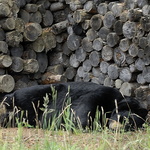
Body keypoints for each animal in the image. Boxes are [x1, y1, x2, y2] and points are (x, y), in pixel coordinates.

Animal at [0, 81, 148, 131]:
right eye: (124, 118)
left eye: (132, 124)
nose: (117, 126)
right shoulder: (102, 94)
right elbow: (82, 110)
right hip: (37, 94)